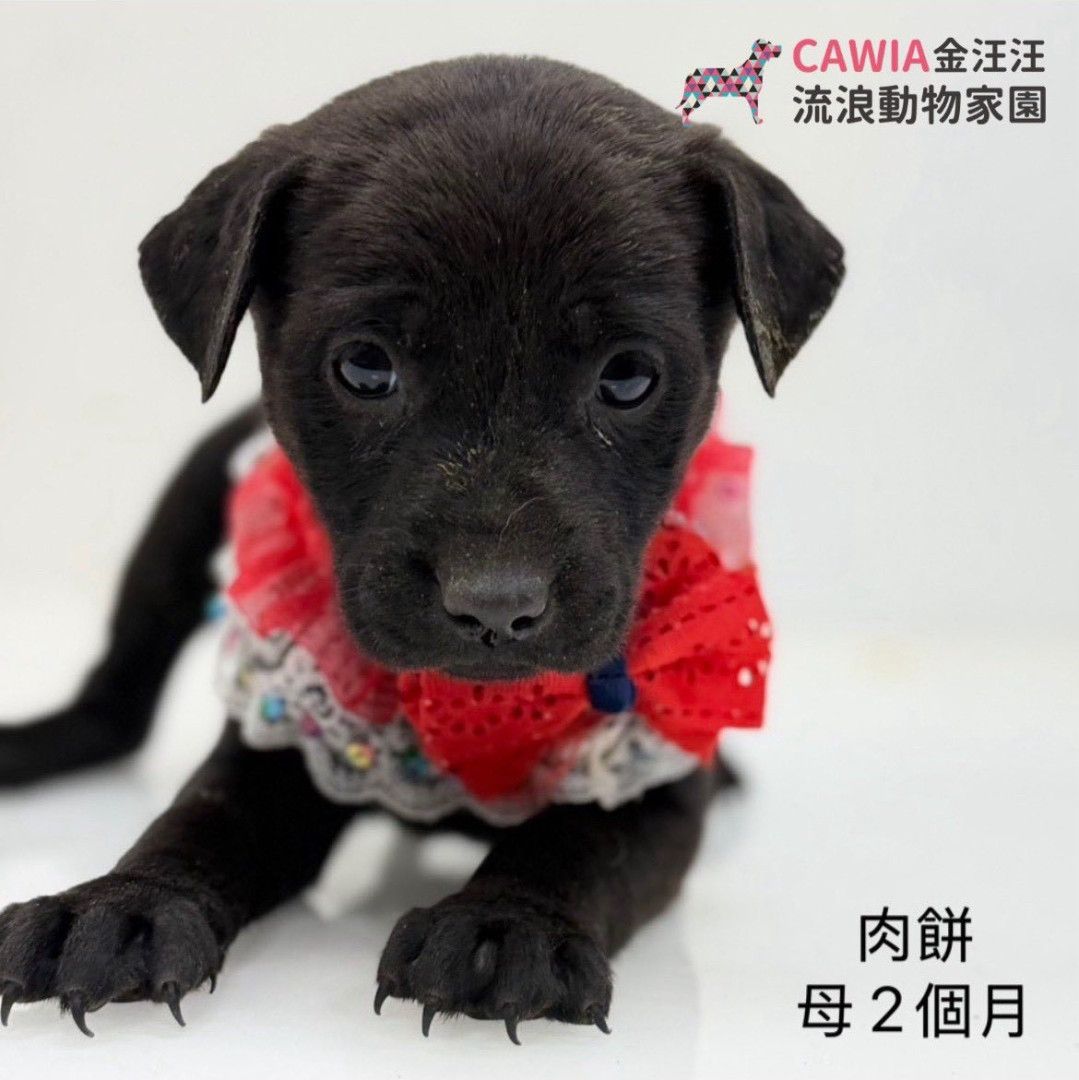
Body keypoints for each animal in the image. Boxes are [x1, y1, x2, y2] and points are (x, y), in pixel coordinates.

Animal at [0, 56, 842, 1042]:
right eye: (365, 368)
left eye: (629, 377)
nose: (494, 603)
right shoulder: (293, 721)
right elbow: (208, 812)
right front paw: (126, 906)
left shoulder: (653, 777)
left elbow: (582, 838)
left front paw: (506, 925)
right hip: (186, 505)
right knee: (118, 696)